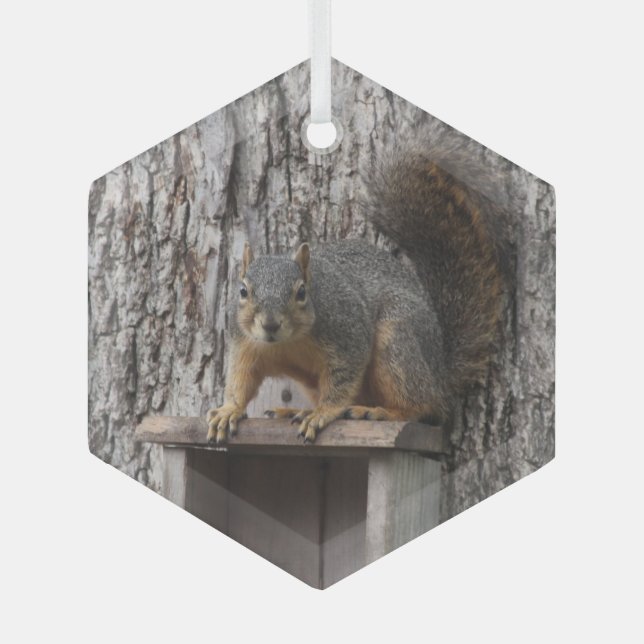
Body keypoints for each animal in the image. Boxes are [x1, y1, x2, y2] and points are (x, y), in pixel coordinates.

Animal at [207, 151, 504, 444]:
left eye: (301, 292)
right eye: (243, 291)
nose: (270, 324)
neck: (288, 342)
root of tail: (440, 371)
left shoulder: (348, 332)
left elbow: (343, 379)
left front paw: (323, 413)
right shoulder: (245, 344)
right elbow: (241, 379)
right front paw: (229, 410)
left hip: (396, 343)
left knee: (423, 405)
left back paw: (378, 412)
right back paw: (295, 410)